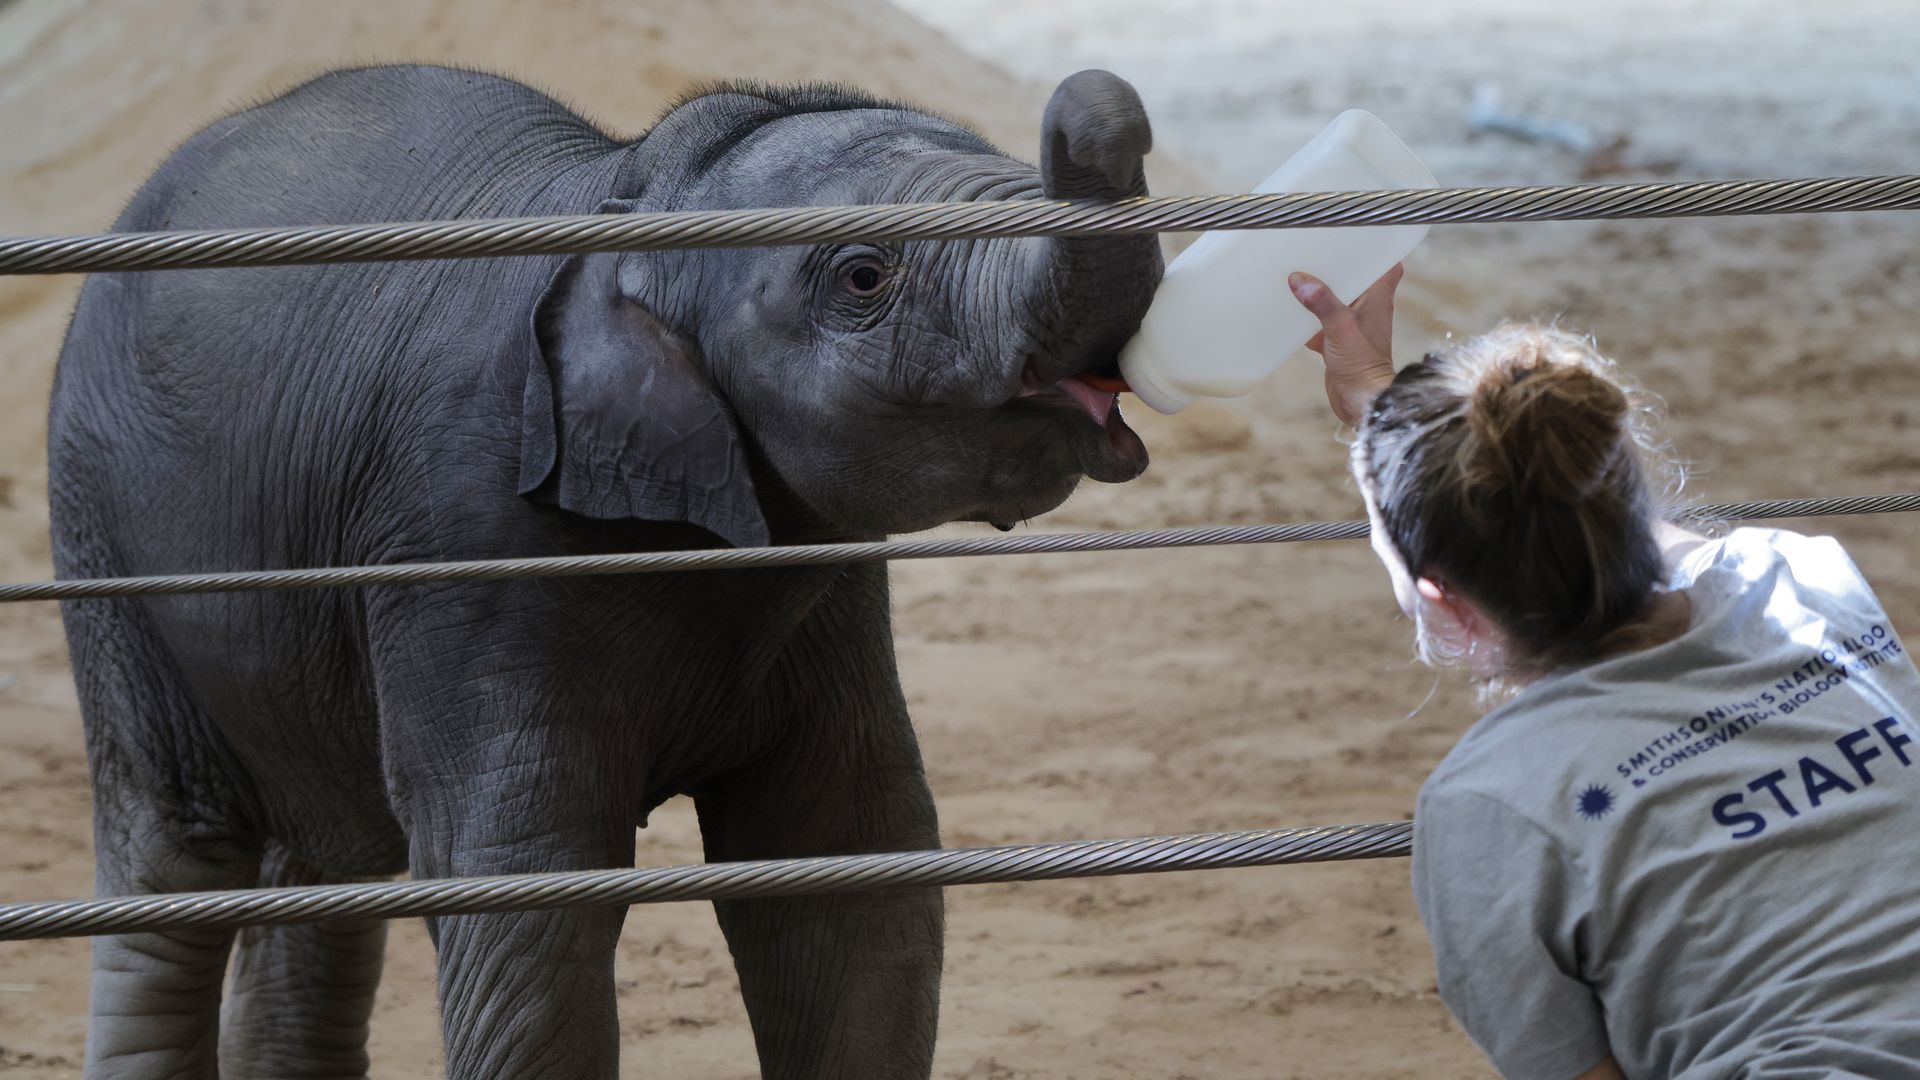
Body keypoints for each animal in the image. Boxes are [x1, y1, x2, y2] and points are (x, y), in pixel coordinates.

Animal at [46, 63, 1161, 1079]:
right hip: (102, 535)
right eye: (863, 276)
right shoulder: (463, 535)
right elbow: (528, 892)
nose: (1099, 92)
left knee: (330, 857)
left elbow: (850, 863)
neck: (633, 195)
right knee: (177, 855)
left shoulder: (830, 587)